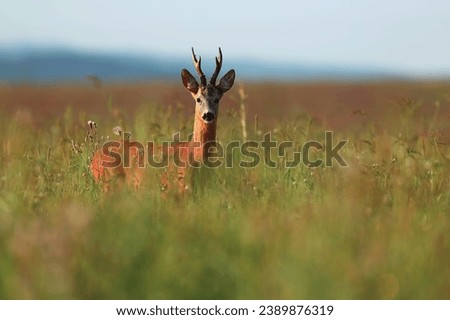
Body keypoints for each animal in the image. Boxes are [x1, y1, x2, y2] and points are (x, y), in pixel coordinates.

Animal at [89, 48, 236, 191]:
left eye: (217, 99)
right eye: (198, 99)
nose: (208, 115)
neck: (195, 156)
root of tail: (93, 158)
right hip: (107, 184)